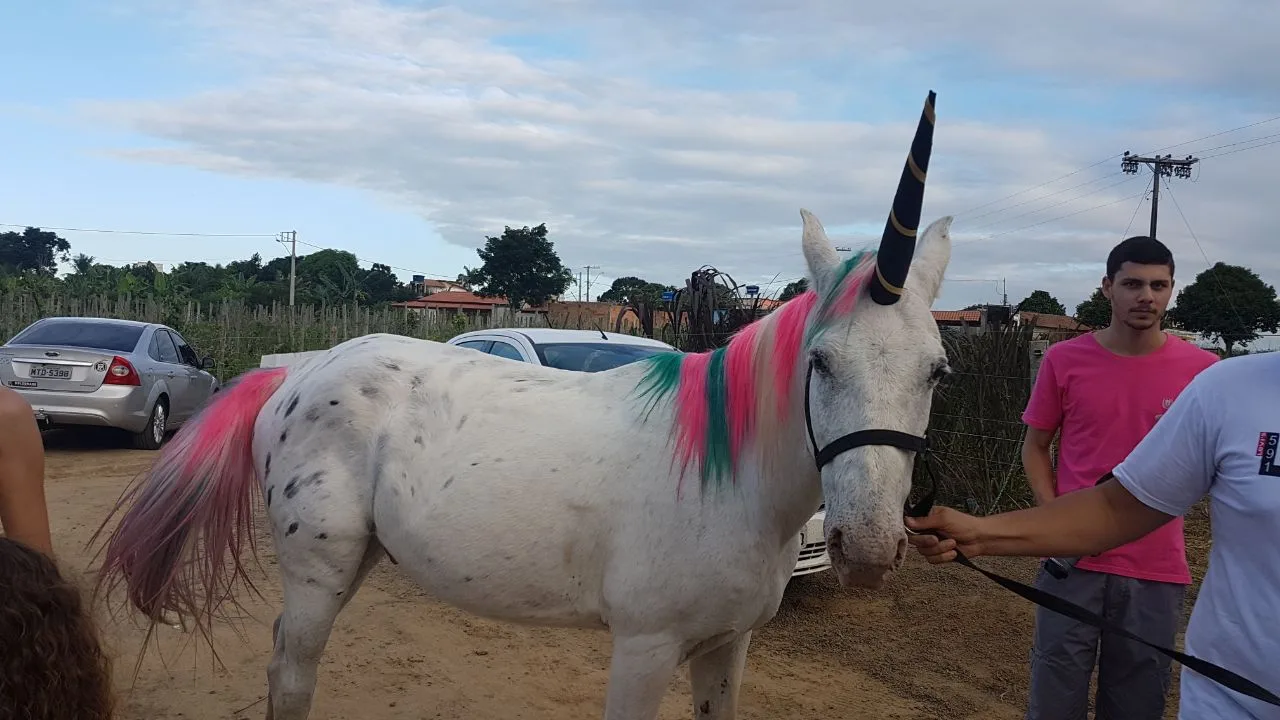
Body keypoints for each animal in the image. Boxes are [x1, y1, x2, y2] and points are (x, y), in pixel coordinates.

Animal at [94, 90, 952, 717]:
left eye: (938, 372)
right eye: (820, 361)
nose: (868, 548)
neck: (728, 480)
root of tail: (300, 376)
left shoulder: (725, 647)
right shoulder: (643, 650)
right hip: (317, 570)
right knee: (291, 675)